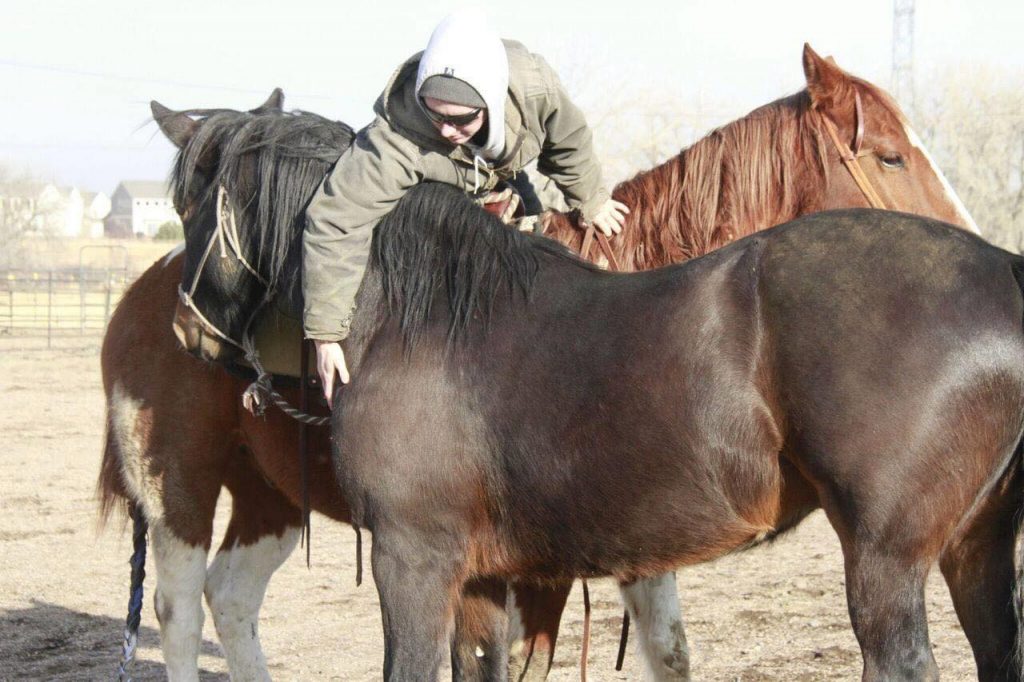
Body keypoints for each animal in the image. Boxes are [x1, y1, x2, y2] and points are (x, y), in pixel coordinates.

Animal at [101, 45, 974, 675]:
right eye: (890, 156)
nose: (193, 329)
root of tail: (143, 293)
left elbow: (667, 653)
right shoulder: (529, 571)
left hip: (270, 496)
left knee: (230, 600)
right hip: (179, 485)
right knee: (179, 608)